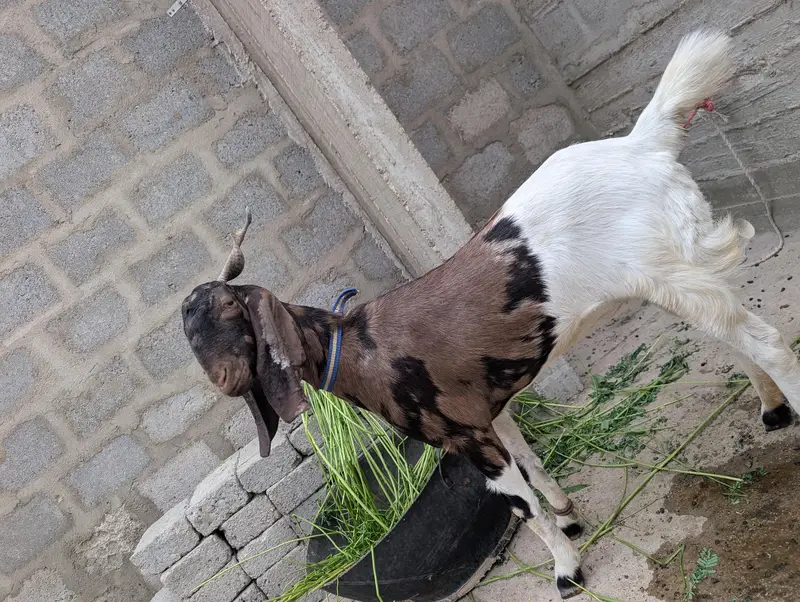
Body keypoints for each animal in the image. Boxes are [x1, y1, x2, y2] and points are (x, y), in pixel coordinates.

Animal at [181, 30, 800, 598]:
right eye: (189, 335)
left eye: (231, 312)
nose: (224, 379)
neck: (357, 346)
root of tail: (642, 144)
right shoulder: (490, 410)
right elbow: (532, 464)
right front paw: (570, 515)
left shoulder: (463, 431)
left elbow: (519, 505)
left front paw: (567, 571)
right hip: (678, 268)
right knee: (734, 338)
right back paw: (771, 409)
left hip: (669, 268)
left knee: (764, 340)